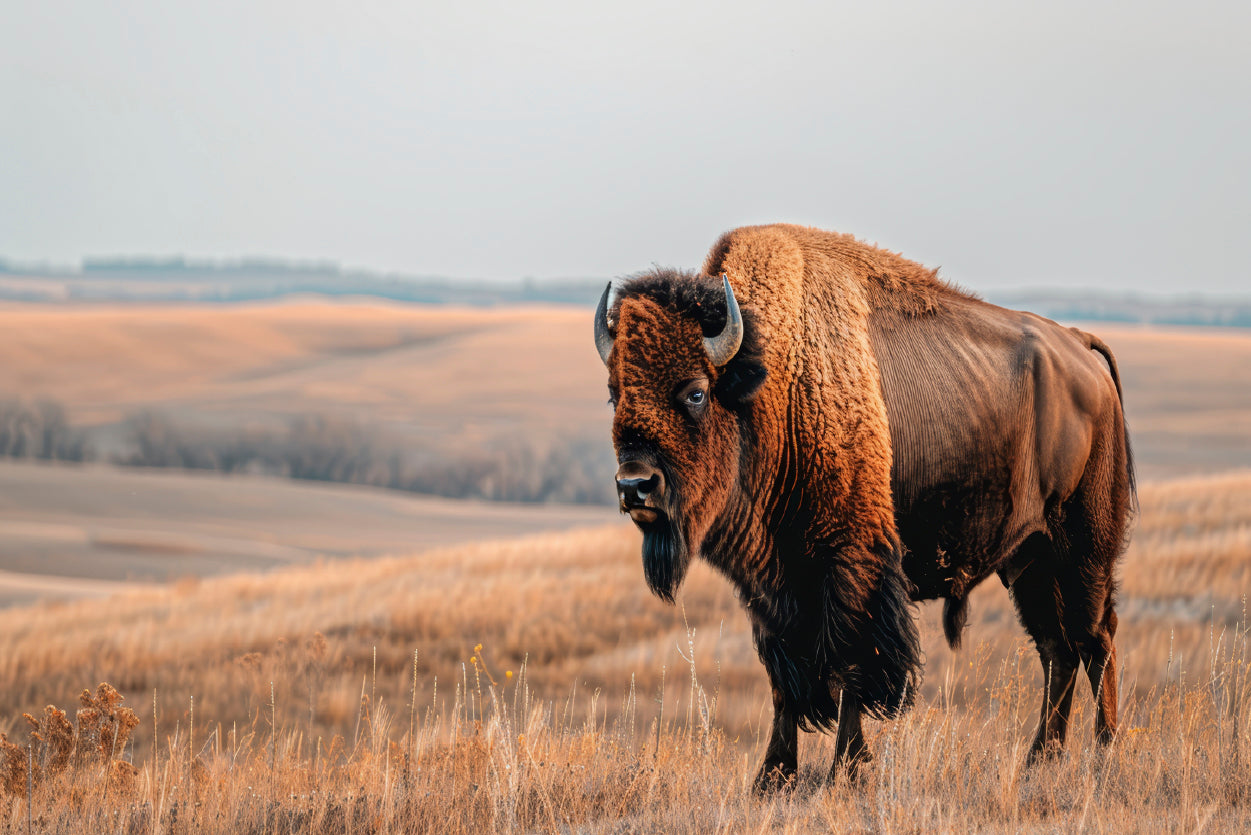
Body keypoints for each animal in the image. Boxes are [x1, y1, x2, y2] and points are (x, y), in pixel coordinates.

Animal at [592, 221, 1135, 791]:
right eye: (614, 393)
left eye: (696, 392)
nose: (635, 486)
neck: (773, 382)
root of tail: (1080, 347)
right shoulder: (769, 588)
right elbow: (782, 678)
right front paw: (772, 777)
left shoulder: (851, 564)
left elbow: (850, 663)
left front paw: (846, 770)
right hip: (1030, 557)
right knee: (1057, 648)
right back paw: (1040, 761)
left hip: (1083, 549)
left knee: (1095, 639)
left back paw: (1104, 754)